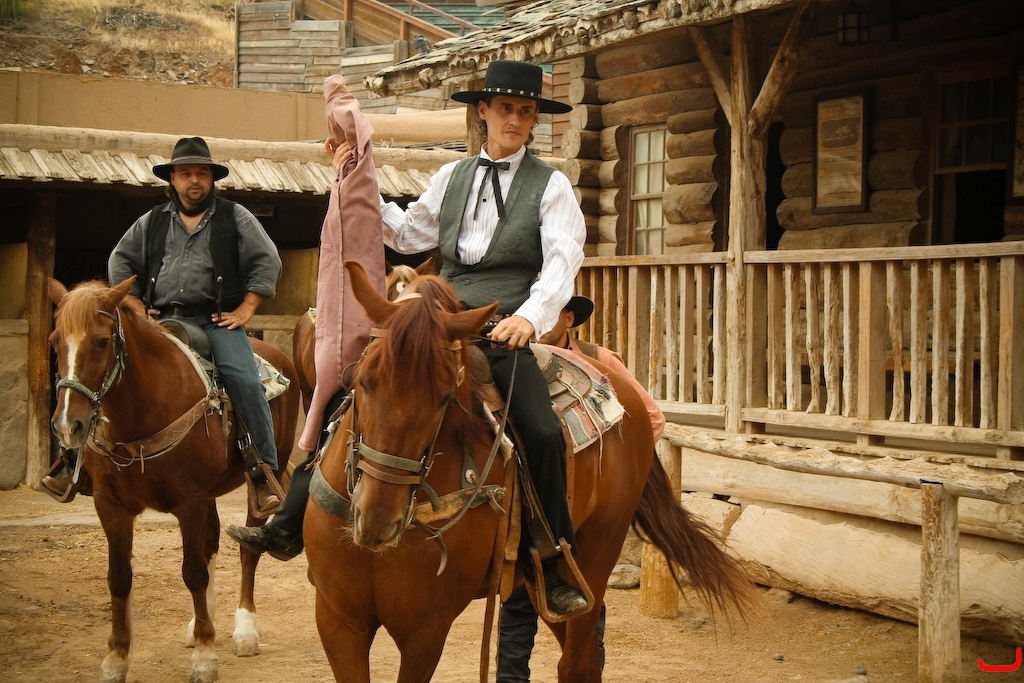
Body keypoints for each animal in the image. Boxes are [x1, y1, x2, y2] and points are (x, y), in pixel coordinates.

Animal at [47, 276, 299, 683]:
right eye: (55, 341)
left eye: (101, 341)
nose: (69, 425)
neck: (141, 413)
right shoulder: (111, 506)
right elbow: (119, 577)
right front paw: (116, 659)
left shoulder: (188, 502)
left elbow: (193, 572)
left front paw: (205, 657)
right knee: (212, 541)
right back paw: (200, 622)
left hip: (263, 482)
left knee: (248, 550)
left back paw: (244, 631)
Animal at [303, 262, 758, 683]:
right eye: (362, 381)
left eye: (445, 397)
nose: (377, 520)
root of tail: (626, 389)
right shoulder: (337, 621)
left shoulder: (424, 630)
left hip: (595, 555)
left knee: (578, 662)